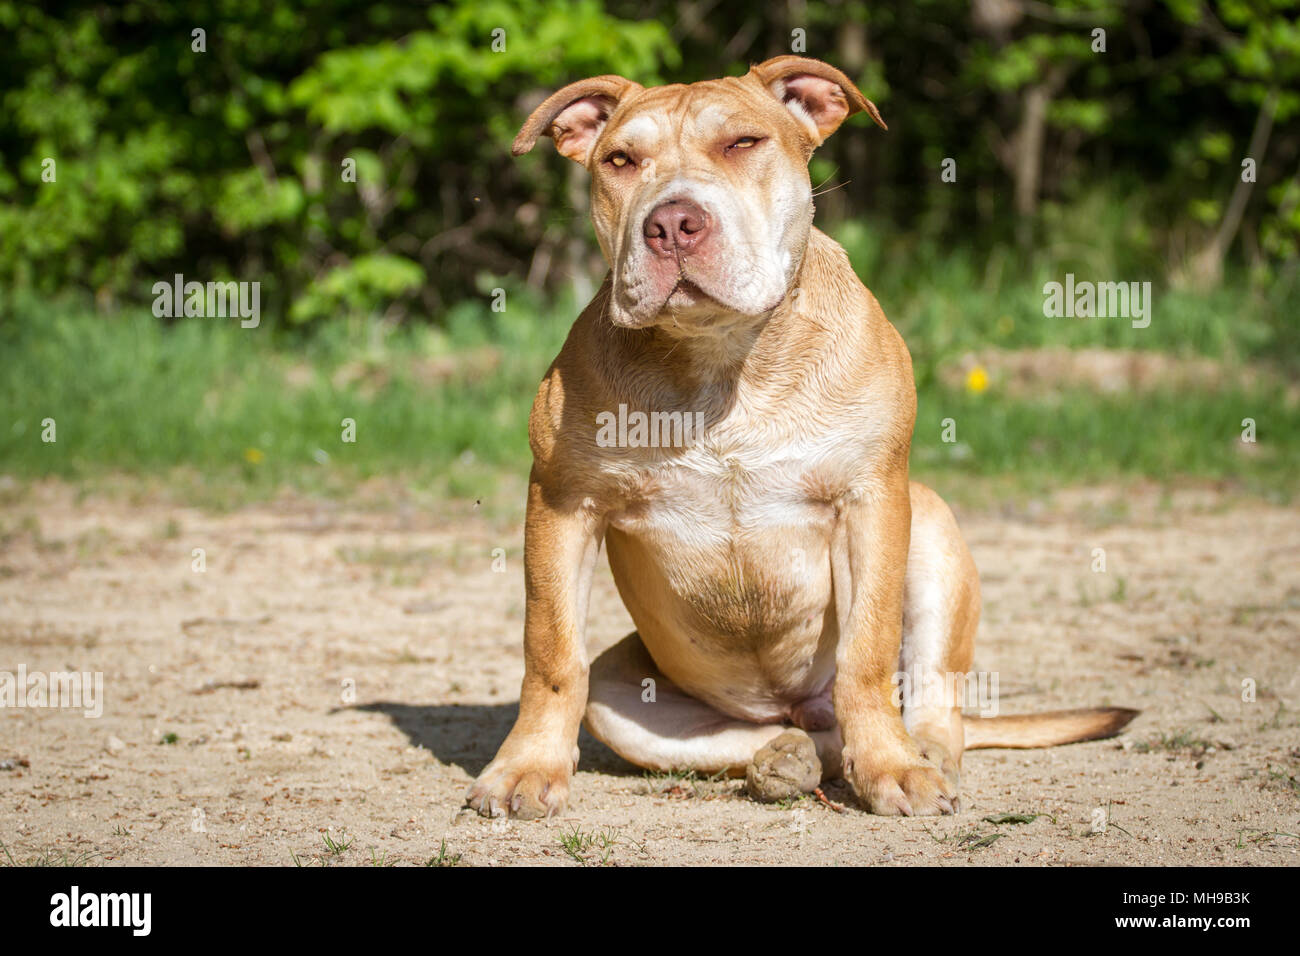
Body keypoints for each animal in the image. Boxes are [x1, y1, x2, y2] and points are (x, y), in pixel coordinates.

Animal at [470, 55, 1138, 816]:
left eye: (743, 143)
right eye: (620, 160)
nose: (672, 222)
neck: (725, 359)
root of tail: (793, 706)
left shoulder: (870, 501)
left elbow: (866, 652)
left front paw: (893, 767)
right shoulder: (562, 502)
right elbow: (551, 653)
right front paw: (527, 768)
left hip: (932, 533)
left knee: (930, 704)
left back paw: (919, 755)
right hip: (631, 703)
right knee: (780, 736)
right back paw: (786, 761)